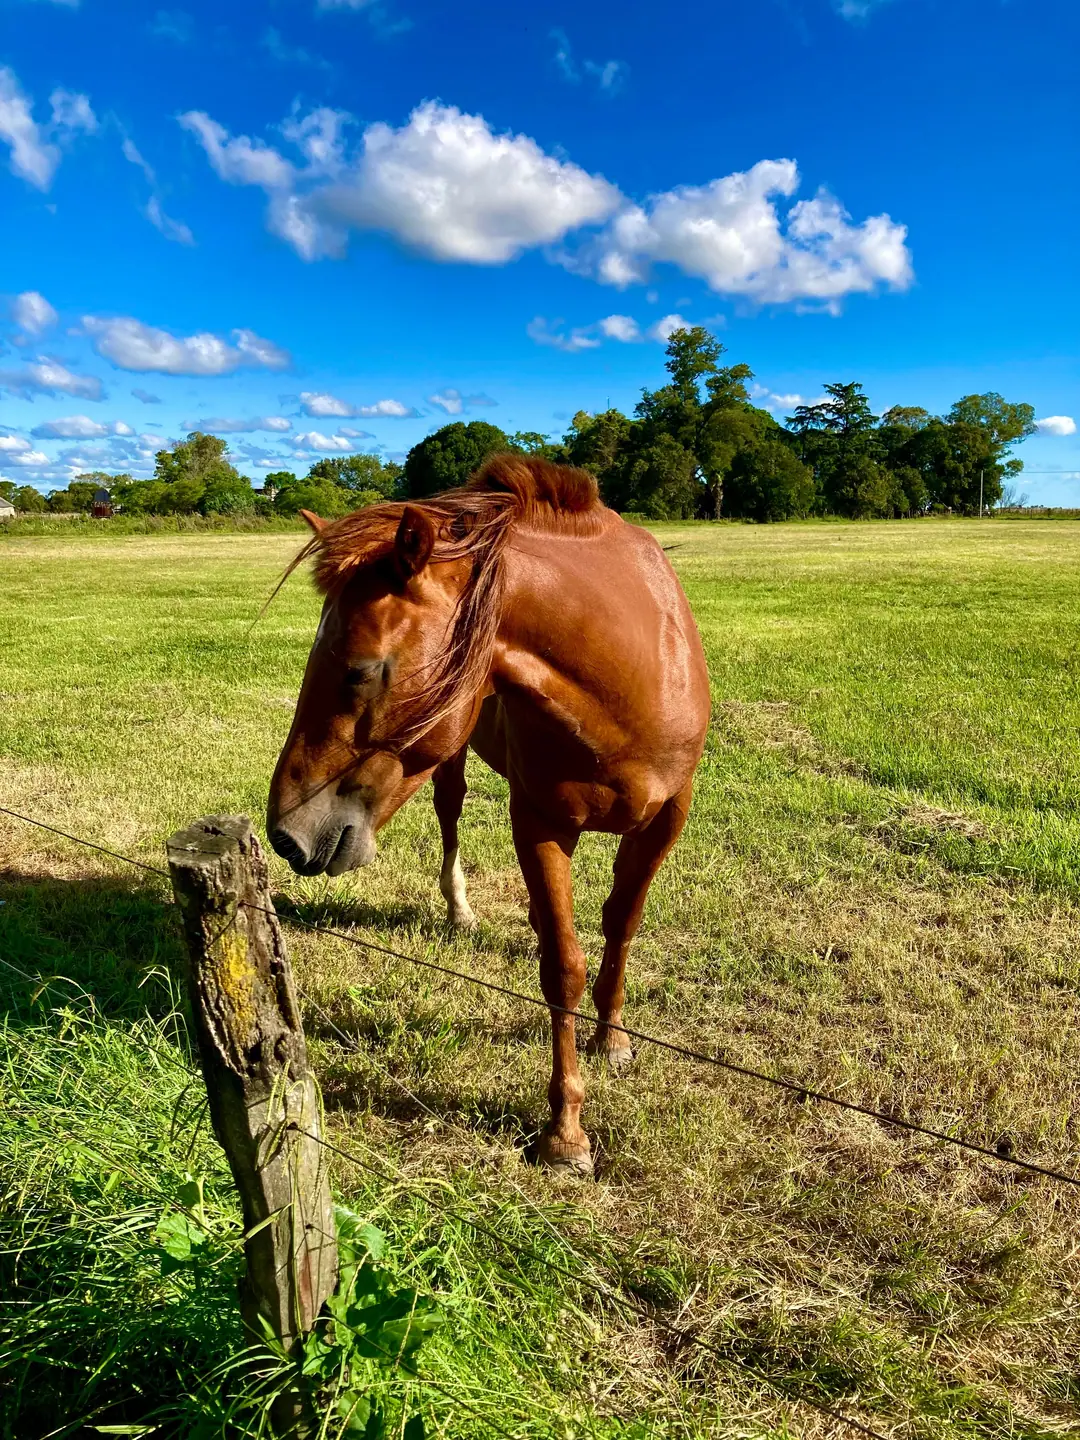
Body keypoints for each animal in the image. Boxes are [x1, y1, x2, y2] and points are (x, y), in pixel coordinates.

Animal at [267, 455, 710, 1173]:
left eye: (361, 671)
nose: (285, 834)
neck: (631, 677)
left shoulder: (667, 817)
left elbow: (622, 926)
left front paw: (613, 1037)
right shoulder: (540, 822)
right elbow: (562, 967)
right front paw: (565, 1132)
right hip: (449, 764)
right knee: (450, 818)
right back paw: (460, 909)